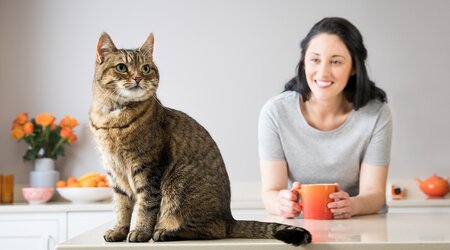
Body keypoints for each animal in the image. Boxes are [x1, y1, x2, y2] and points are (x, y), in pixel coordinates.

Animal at [89, 33, 312, 246]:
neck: (111, 120)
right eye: (121, 67)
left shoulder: (148, 169)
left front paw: (141, 232)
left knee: (212, 230)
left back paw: (166, 233)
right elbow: (121, 208)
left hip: (178, 188)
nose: (137, 78)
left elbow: (146, 206)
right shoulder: (115, 175)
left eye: (145, 69)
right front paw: (119, 231)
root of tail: (229, 217)